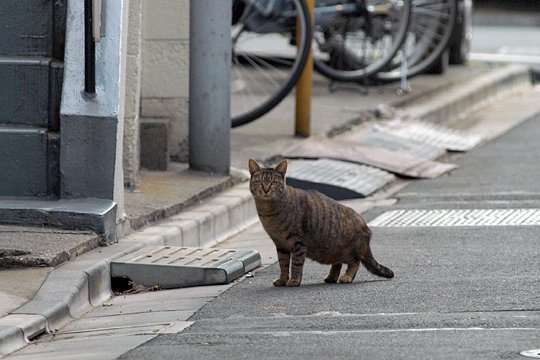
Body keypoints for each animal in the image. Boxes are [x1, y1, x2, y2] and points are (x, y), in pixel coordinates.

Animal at [248, 158, 392, 286]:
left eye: (273, 182)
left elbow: (295, 264)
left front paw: (294, 281)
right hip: (335, 249)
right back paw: (331, 277)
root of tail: (366, 228)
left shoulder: (298, 241)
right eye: (259, 182)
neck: (268, 212)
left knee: (355, 263)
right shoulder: (280, 244)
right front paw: (282, 280)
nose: (266, 189)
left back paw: (346, 276)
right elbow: (283, 265)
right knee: (338, 263)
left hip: (350, 249)